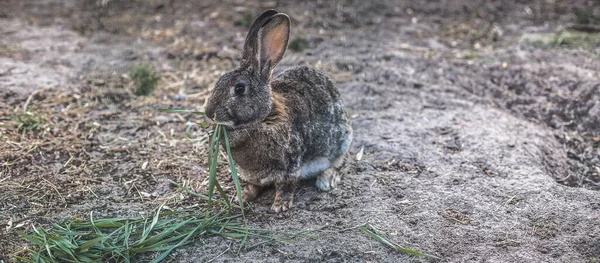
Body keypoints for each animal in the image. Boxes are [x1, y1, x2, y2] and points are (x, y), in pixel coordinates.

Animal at [205, 9, 352, 213]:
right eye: (218, 81)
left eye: (240, 89)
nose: (208, 113)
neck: (264, 117)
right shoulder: (252, 174)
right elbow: (254, 185)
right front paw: (242, 197)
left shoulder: (290, 163)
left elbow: (286, 185)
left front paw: (280, 205)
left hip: (340, 143)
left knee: (341, 162)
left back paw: (326, 180)